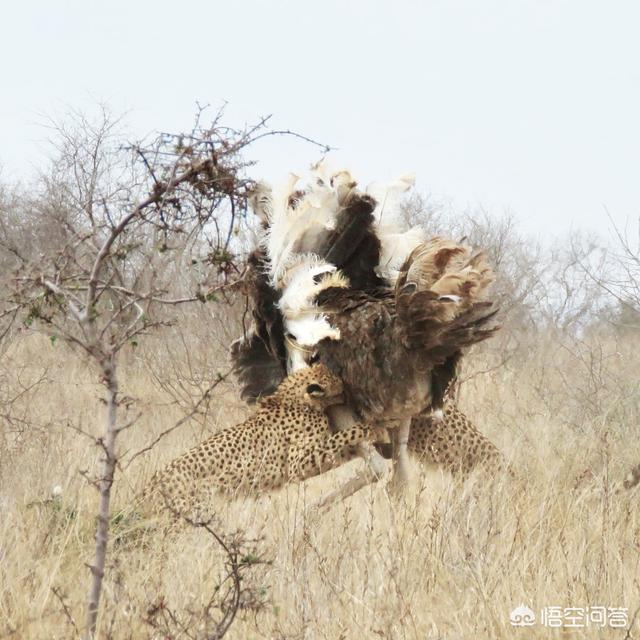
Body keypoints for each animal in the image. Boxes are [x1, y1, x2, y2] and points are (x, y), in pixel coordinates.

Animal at [138, 362, 372, 524]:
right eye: (339, 386)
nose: (349, 391)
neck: (299, 399)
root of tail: (150, 484)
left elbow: (343, 449)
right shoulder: (298, 464)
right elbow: (342, 436)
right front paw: (371, 426)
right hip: (186, 514)